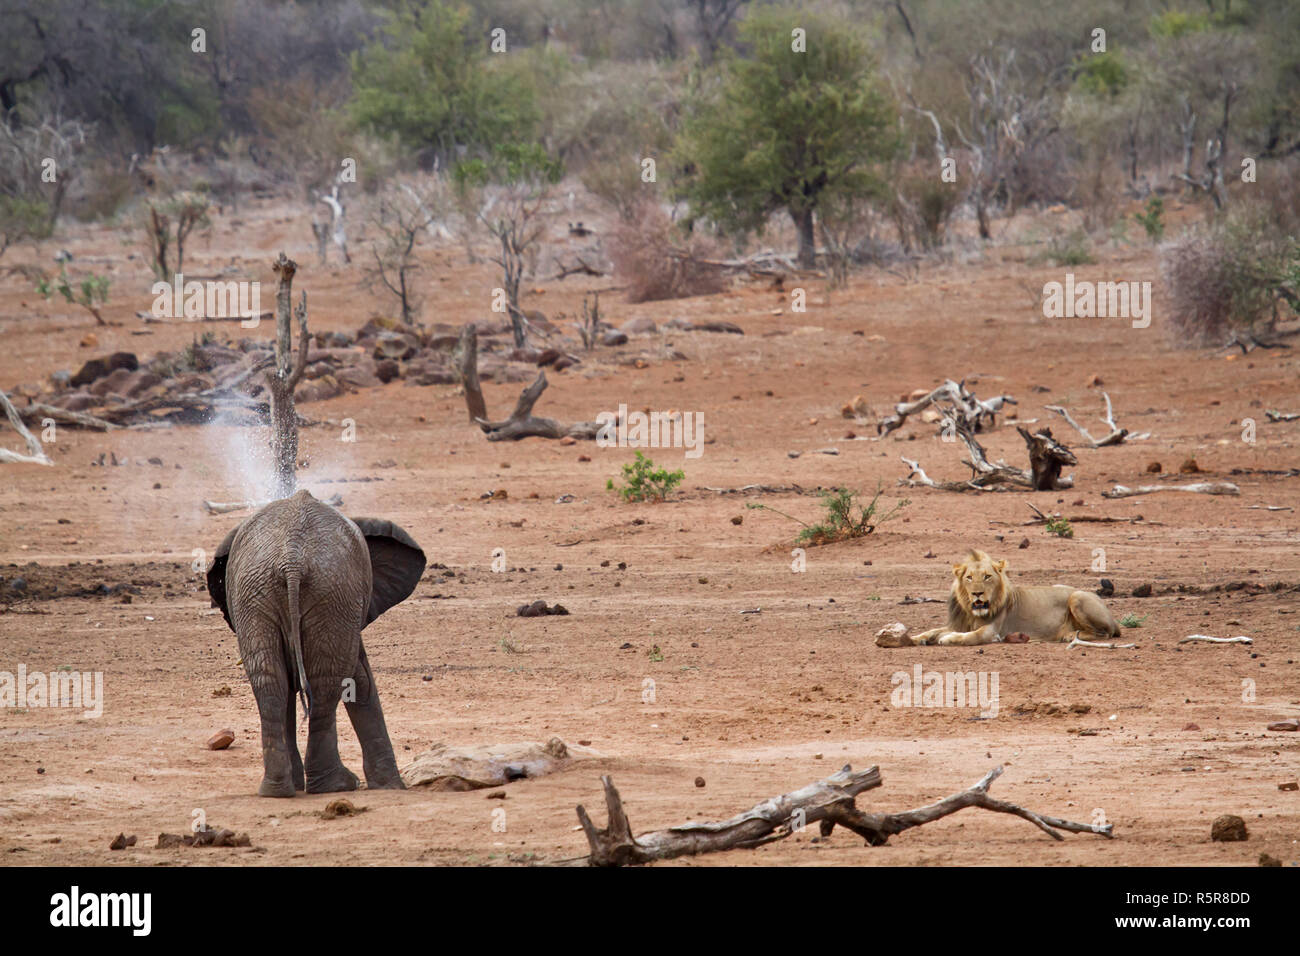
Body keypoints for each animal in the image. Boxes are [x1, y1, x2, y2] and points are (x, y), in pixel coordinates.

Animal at [204, 489, 426, 796]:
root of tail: (292, 558)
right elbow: (360, 679)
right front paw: (391, 786)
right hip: (328, 593)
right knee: (325, 683)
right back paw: (335, 785)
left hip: (260, 595)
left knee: (271, 682)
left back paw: (278, 790)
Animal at [878, 548, 1123, 647]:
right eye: (969, 577)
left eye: (987, 576)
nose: (977, 593)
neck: (972, 611)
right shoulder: (958, 622)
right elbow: (931, 630)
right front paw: (914, 638)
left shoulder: (992, 631)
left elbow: (970, 636)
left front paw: (948, 639)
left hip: (1077, 596)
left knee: (1104, 633)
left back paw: (1069, 635)